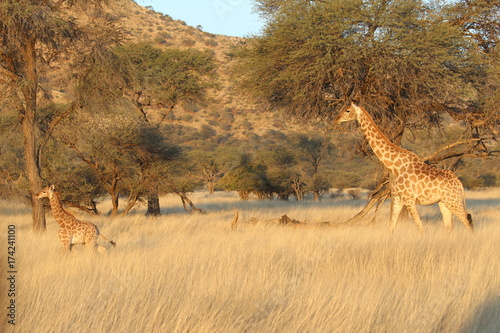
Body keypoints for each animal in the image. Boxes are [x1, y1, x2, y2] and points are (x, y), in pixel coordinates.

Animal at [336, 102, 472, 232]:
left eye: (347, 110)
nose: (336, 119)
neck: (393, 164)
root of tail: (459, 183)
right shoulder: (397, 198)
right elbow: (391, 226)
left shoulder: (409, 199)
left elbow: (420, 227)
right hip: (443, 202)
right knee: (449, 226)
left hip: (453, 201)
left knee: (468, 222)